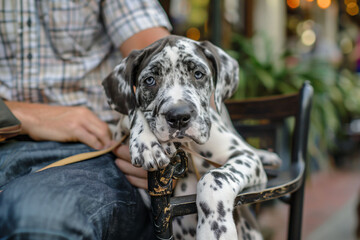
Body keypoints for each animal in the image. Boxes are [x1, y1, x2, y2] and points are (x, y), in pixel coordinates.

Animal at [102, 35, 280, 240]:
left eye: (198, 74)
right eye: (150, 80)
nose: (179, 116)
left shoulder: (246, 157)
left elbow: (215, 177)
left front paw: (214, 229)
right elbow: (132, 110)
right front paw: (146, 143)